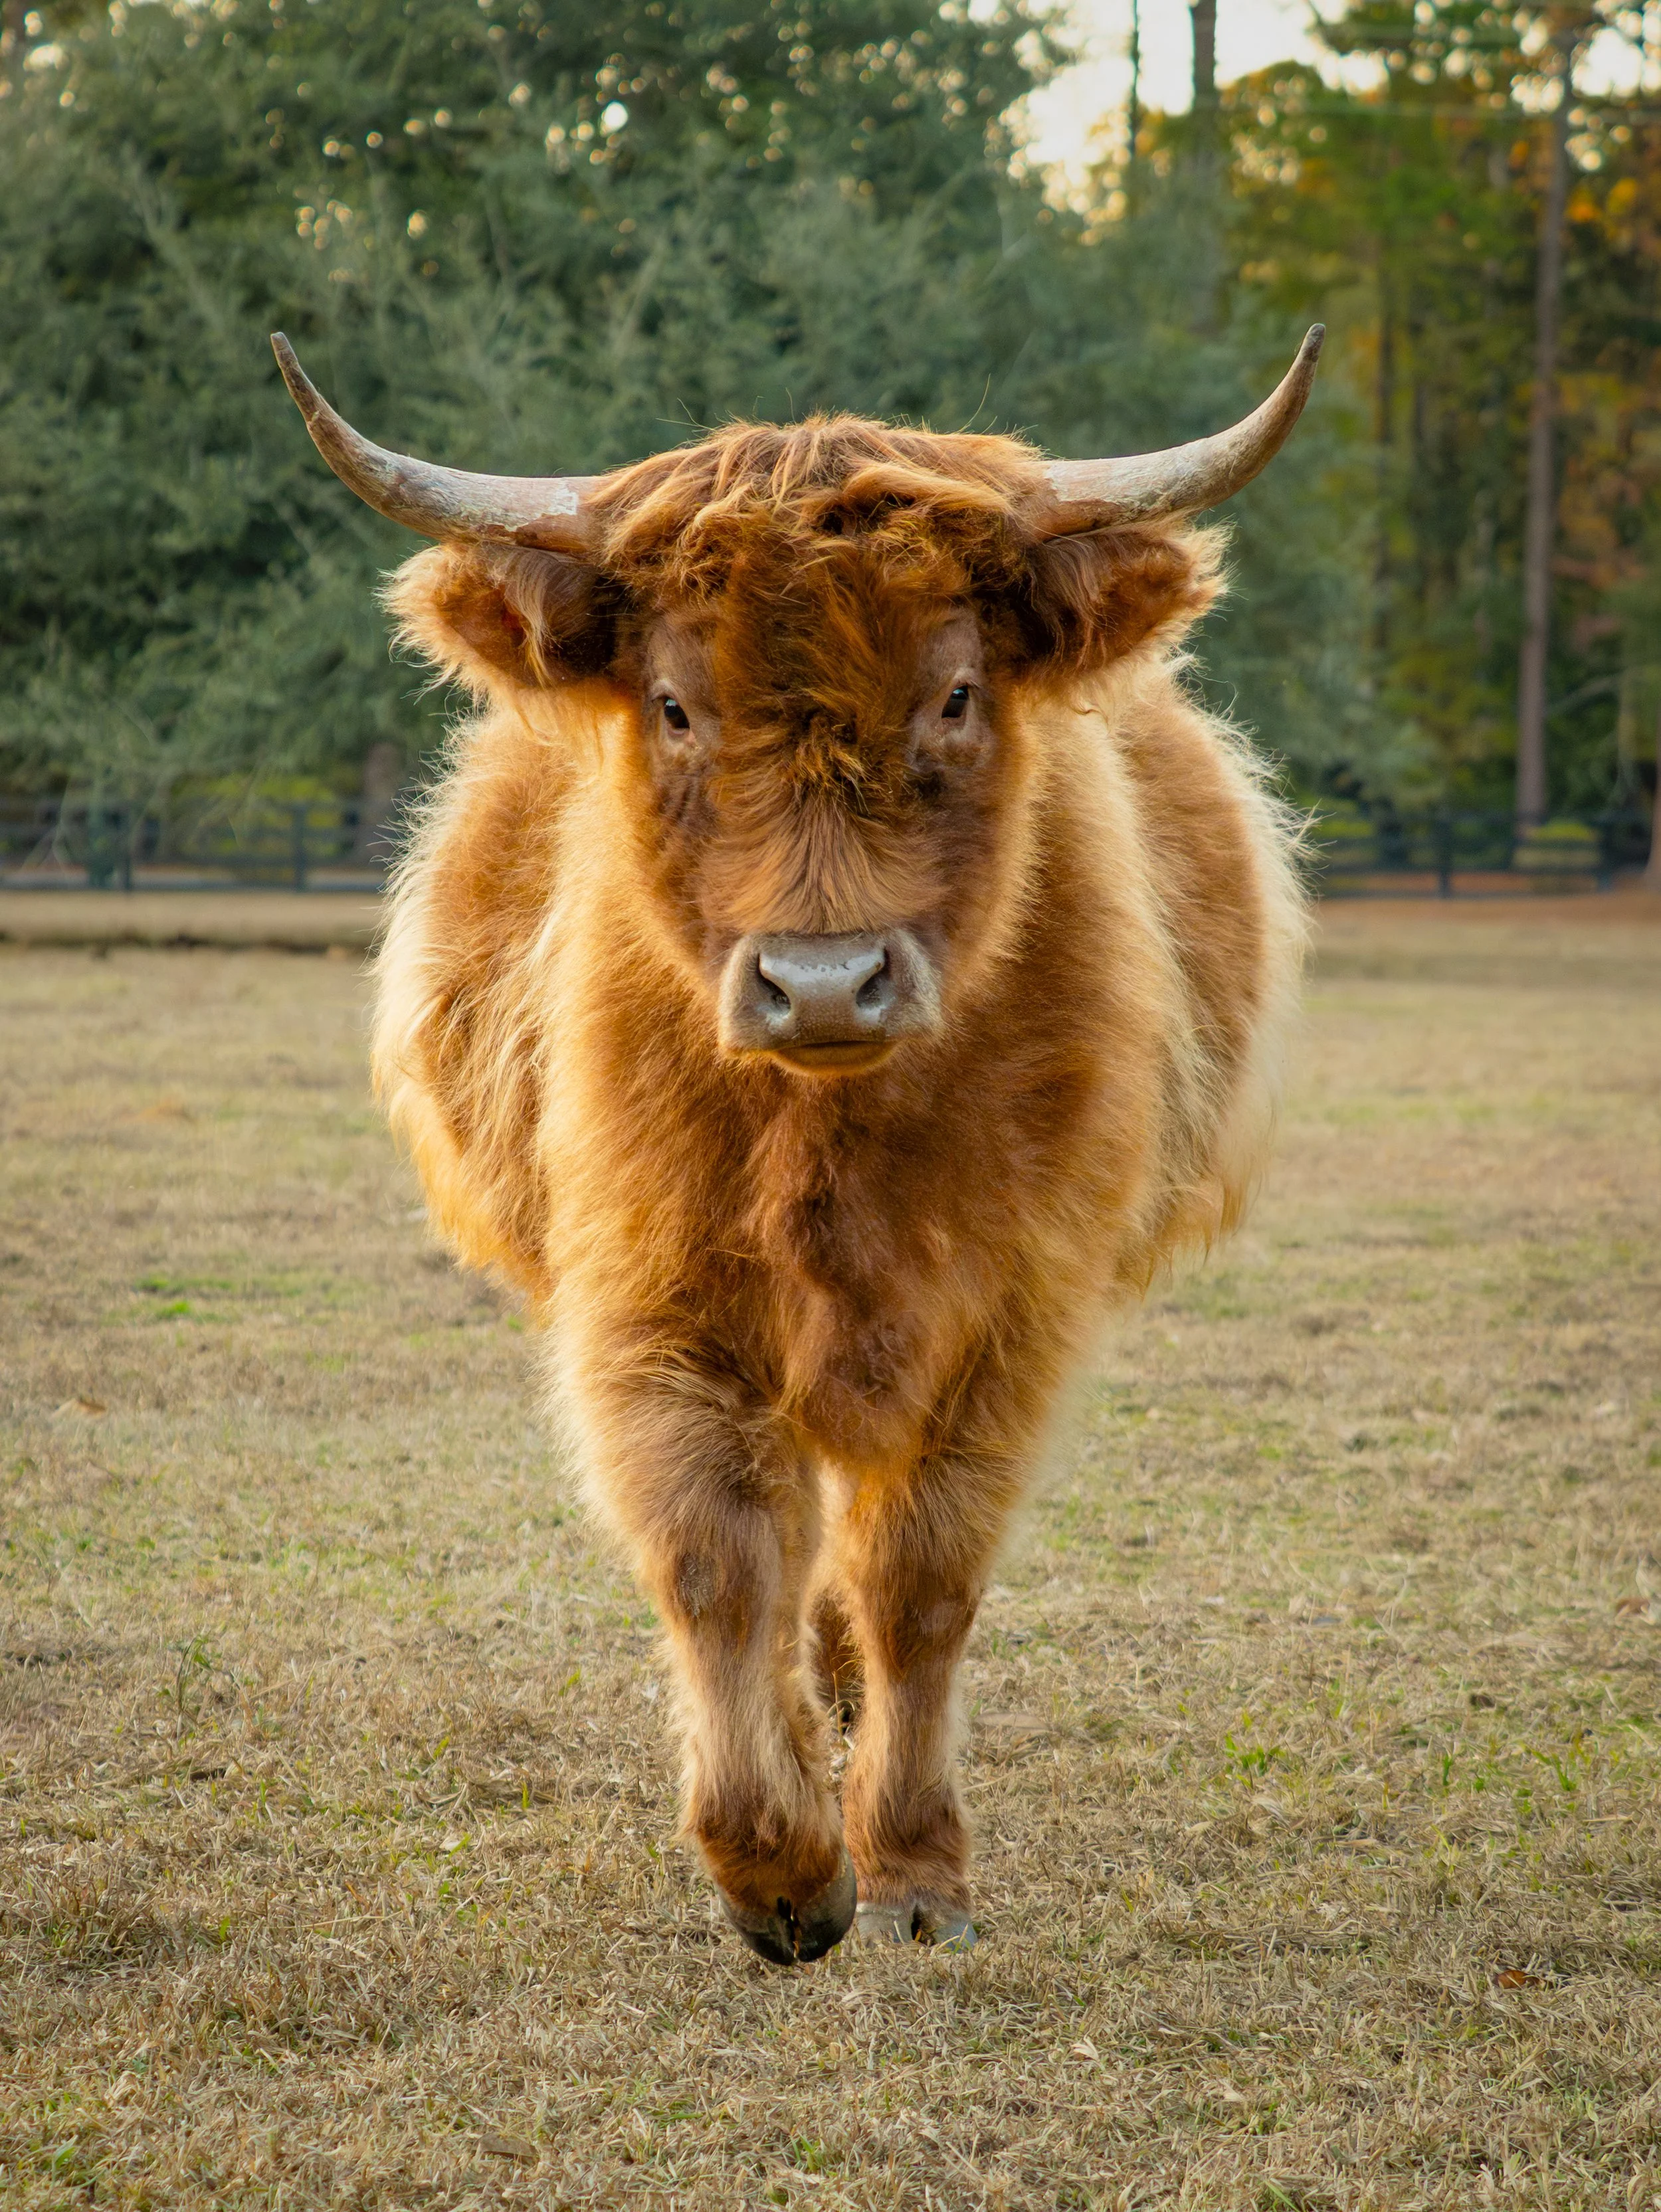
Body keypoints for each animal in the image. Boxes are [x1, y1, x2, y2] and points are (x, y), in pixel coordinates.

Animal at [273, 328, 1316, 1964]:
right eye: (674, 706)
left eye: (954, 694)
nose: (823, 983)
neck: (832, 1148)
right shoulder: (648, 1299)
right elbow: (714, 1557)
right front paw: (775, 1872)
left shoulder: (1013, 1316)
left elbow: (921, 1582)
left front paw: (910, 1871)